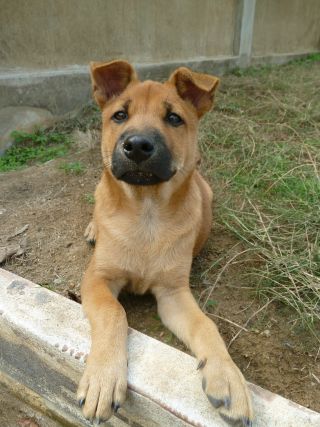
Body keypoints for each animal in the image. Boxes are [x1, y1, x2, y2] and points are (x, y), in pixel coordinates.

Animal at [77, 61, 252, 427]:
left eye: (174, 118)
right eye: (119, 115)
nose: (137, 145)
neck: (147, 214)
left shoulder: (174, 294)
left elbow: (206, 325)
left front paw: (228, 376)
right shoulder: (97, 278)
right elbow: (113, 313)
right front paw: (103, 378)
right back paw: (94, 227)